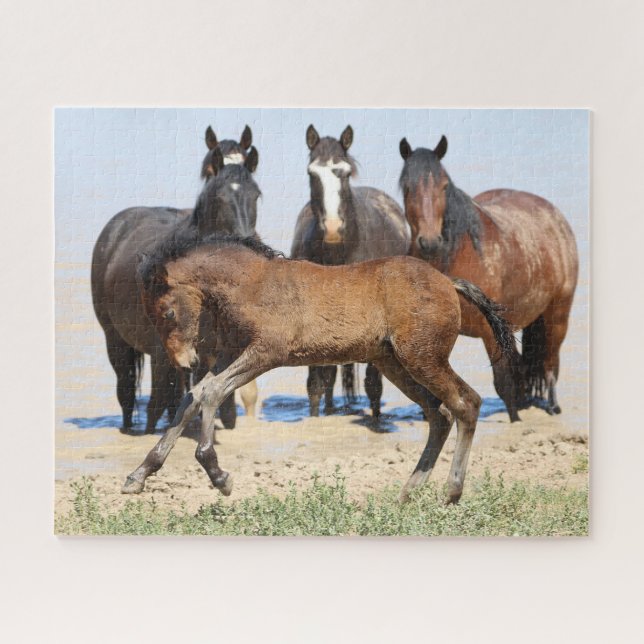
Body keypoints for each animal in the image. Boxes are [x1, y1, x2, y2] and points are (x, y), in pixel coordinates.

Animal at [91, 135, 260, 434]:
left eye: (256, 195)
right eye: (218, 196)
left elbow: (223, 408)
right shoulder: (164, 353)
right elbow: (156, 405)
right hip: (116, 340)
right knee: (128, 392)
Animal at [121, 234, 519, 505]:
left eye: (167, 312)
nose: (185, 361)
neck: (251, 284)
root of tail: (448, 282)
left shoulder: (268, 352)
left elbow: (212, 391)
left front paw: (218, 474)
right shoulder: (231, 352)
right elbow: (194, 394)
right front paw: (138, 476)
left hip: (423, 357)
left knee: (466, 403)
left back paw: (450, 493)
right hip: (395, 363)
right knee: (440, 416)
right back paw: (408, 492)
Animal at [291, 125, 410, 419]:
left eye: (344, 173)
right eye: (312, 173)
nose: (334, 228)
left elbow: (373, 383)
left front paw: (376, 419)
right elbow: (316, 382)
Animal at [398, 135, 579, 421]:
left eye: (444, 186)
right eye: (407, 186)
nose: (429, 241)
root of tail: (555, 217)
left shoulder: (489, 331)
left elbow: (503, 381)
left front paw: (515, 420)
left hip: (556, 314)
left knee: (550, 361)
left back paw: (552, 406)